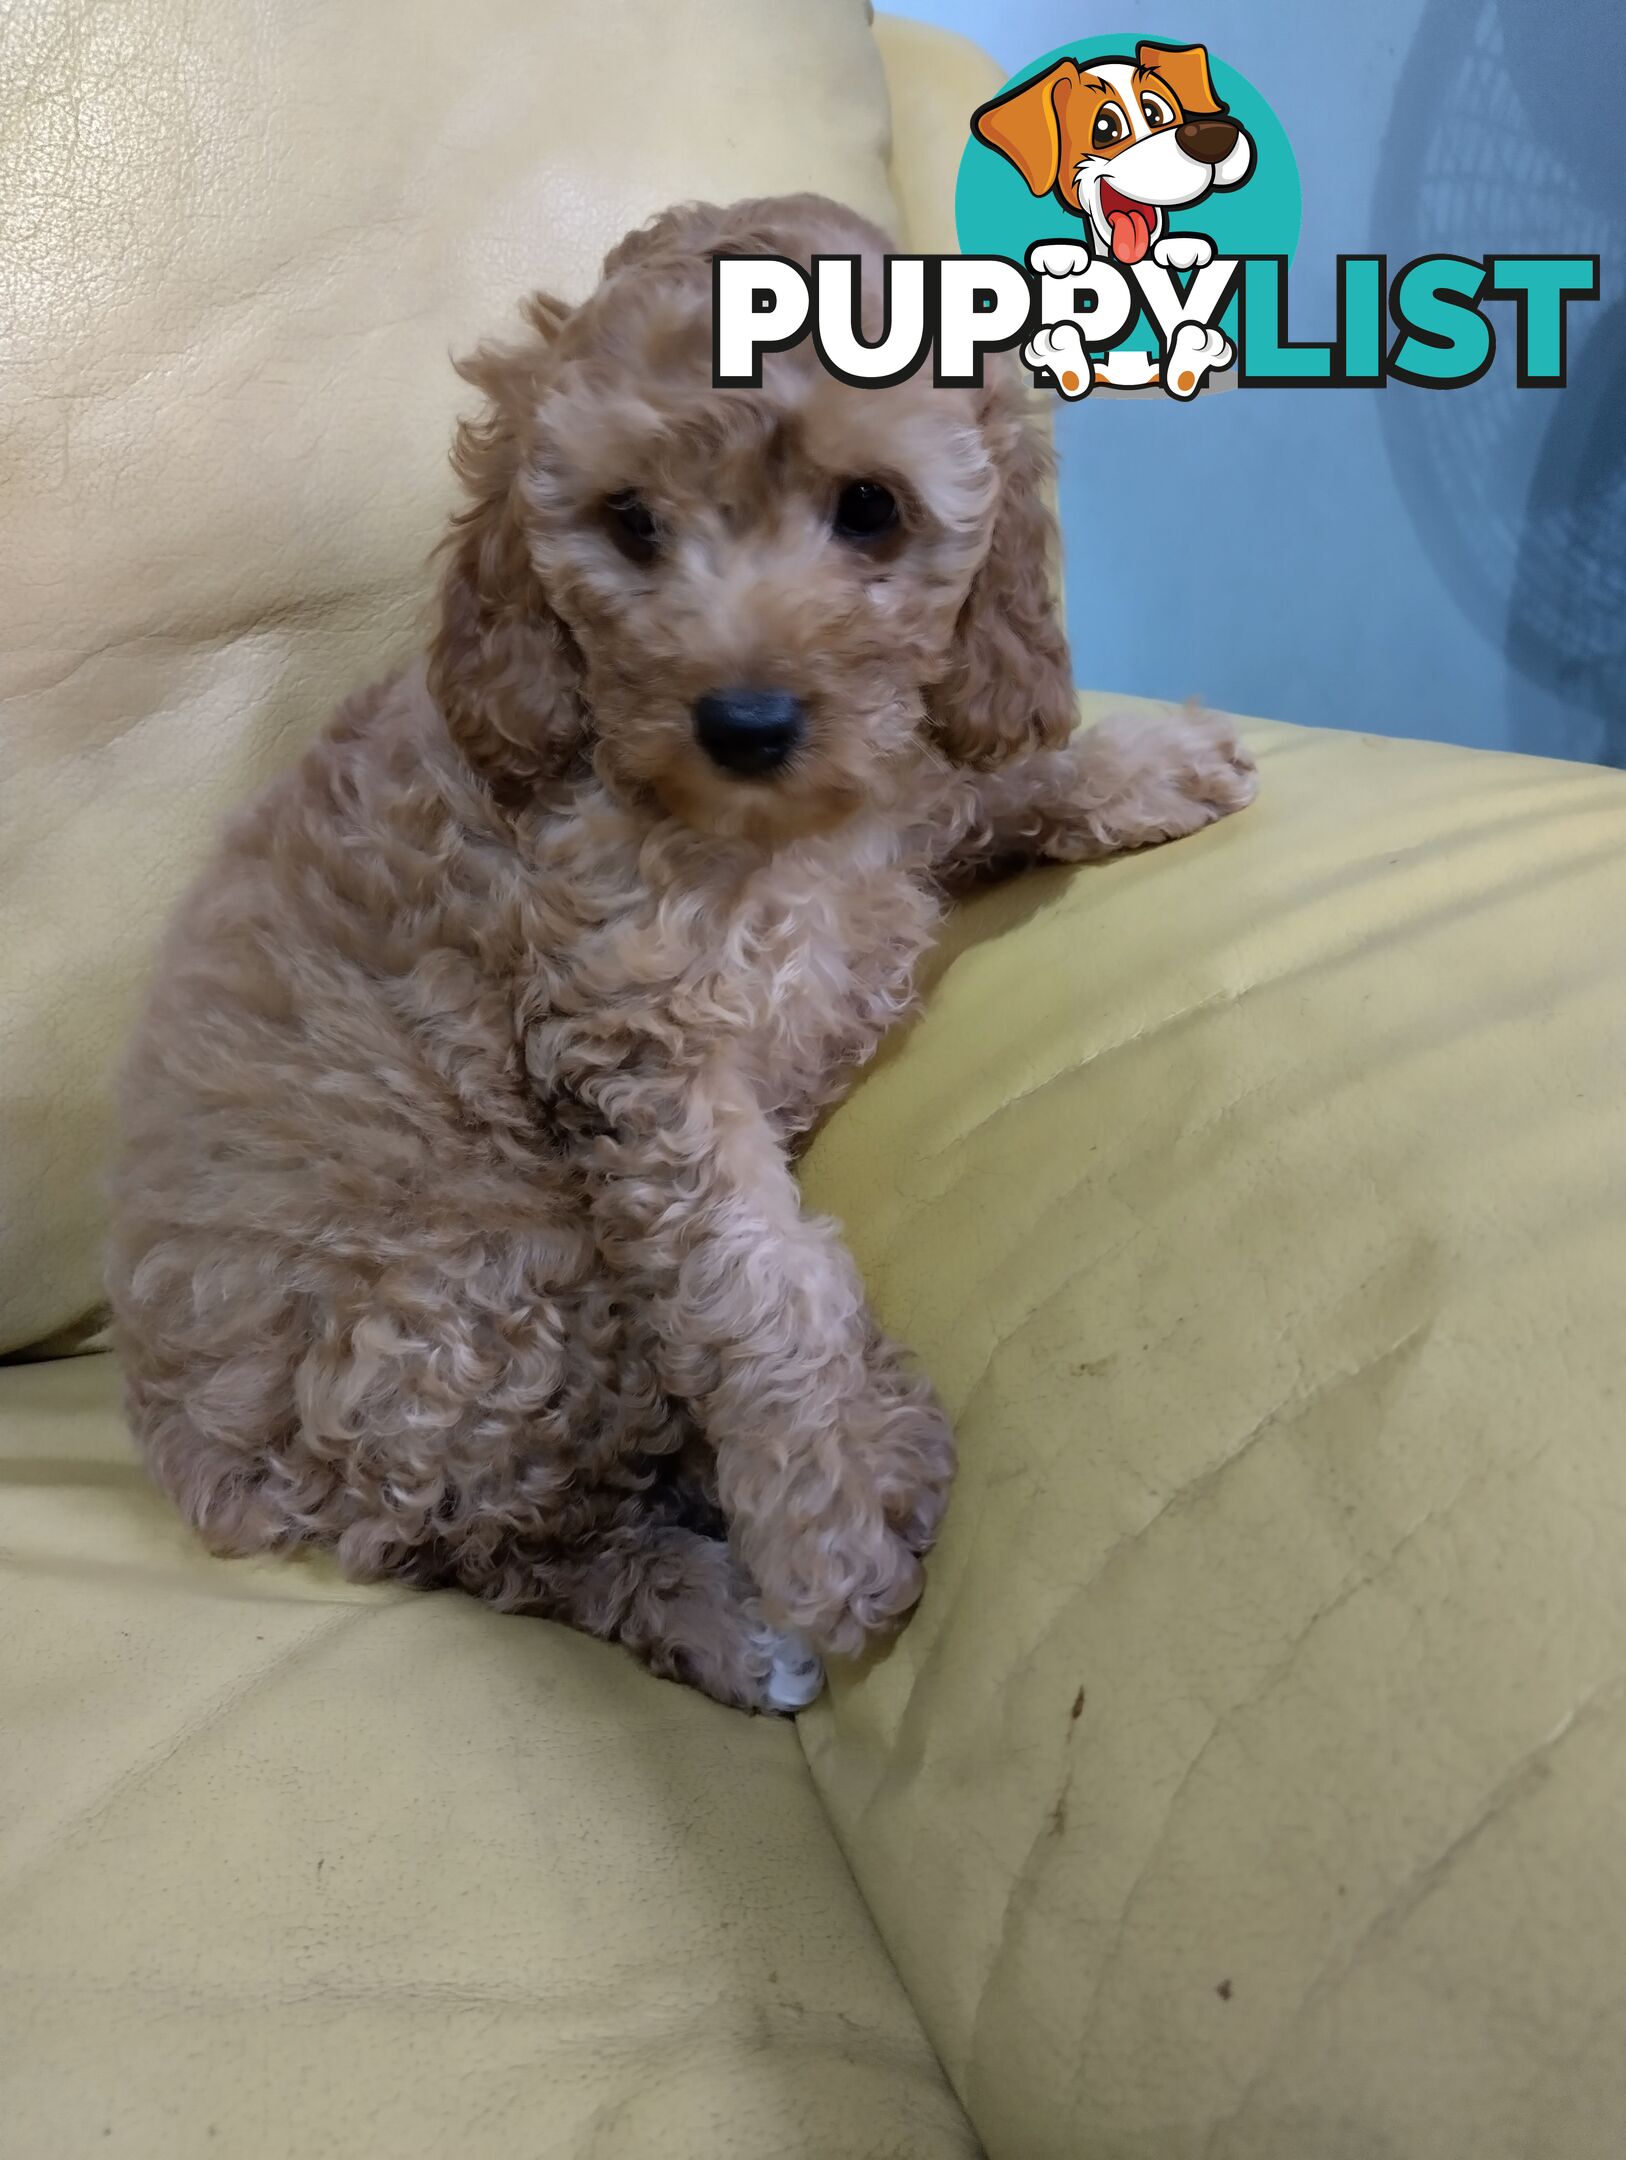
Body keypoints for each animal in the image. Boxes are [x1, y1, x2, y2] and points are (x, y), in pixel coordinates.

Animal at [107, 194, 1252, 1710]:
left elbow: (975, 775)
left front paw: (1151, 763)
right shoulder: (635, 1049)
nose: (745, 721)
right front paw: (840, 1511)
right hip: (494, 1306)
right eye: (631, 523)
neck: (762, 831)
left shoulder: (885, 805)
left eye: (870, 509)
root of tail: (200, 1467)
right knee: (521, 1548)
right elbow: (758, 1285)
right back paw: (729, 1611)